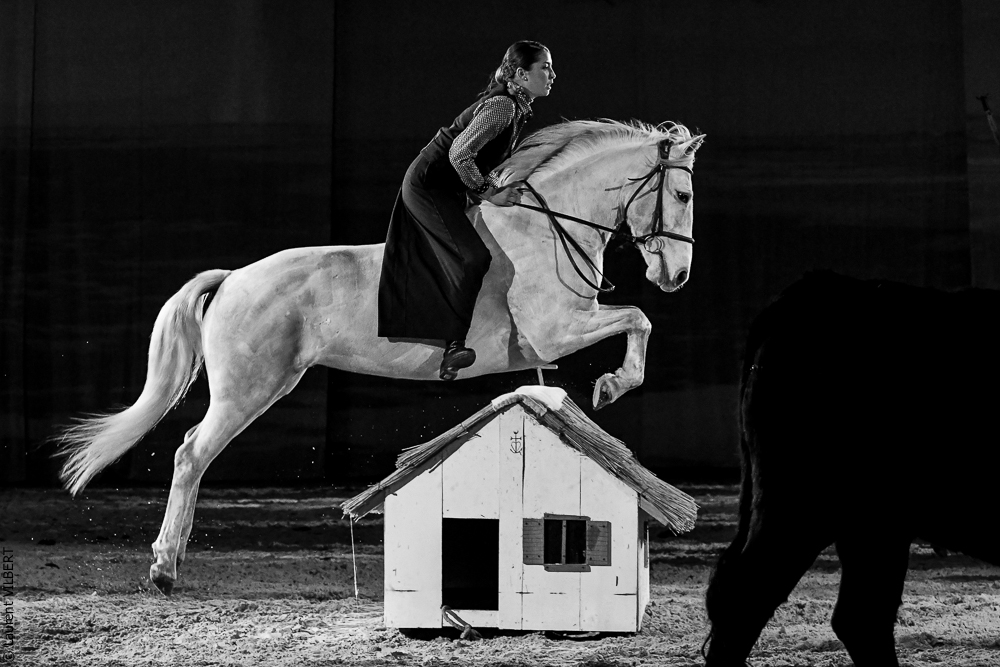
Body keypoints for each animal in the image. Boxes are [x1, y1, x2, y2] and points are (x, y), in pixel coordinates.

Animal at [55, 119, 704, 595]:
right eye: (681, 193)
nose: (676, 277)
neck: (549, 227)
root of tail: (235, 276)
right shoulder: (557, 330)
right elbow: (638, 318)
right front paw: (614, 384)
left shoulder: (558, 335)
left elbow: (634, 321)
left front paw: (604, 386)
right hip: (248, 390)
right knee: (191, 454)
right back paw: (164, 569)